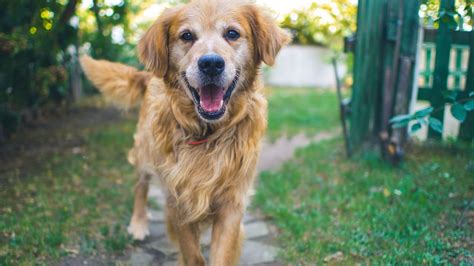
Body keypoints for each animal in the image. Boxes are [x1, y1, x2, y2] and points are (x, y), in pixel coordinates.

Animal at [81, 0, 288, 264]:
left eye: (232, 33)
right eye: (187, 36)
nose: (211, 64)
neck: (208, 133)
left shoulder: (232, 202)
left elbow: (221, 253)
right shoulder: (178, 199)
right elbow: (192, 254)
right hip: (145, 151)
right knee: (140, 186)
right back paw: (138, 223)